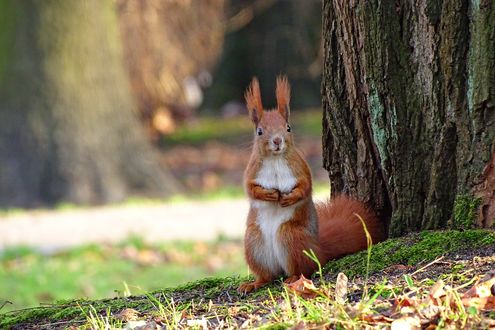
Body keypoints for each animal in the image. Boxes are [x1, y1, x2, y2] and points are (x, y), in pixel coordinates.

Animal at [238, 75, 386, 294]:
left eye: (288, 128)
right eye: (259, 131)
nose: (277, 141)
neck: (275, 159)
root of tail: (318, 248)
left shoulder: (301, 169)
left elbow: (306, 188)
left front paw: (290, 197)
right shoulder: (251, 171)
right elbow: (250, 190)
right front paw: (269, 195)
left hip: (292, 237)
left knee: (303, 269)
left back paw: (292, 278)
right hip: (254, 242)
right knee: (267, 276)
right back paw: (254, 283)